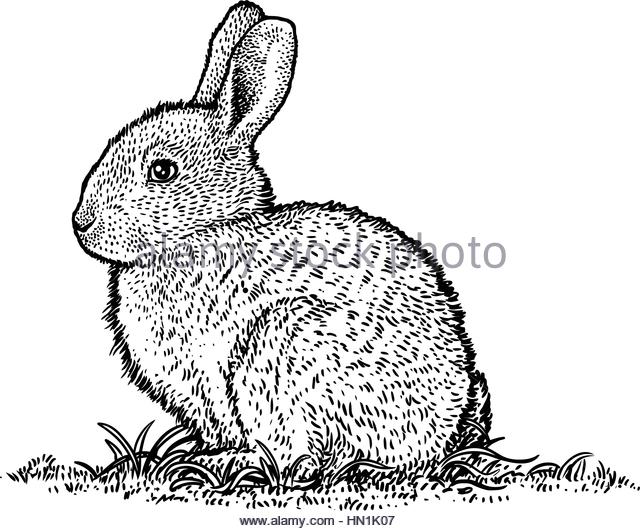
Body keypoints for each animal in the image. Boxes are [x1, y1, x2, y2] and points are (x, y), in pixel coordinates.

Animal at [72, 1, 491, 482]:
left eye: (162, 171)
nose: (80, 224)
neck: (209, 232)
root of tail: (443, 433)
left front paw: (216, 460)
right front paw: (187, 455)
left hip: (285, 345)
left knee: (313, 456)